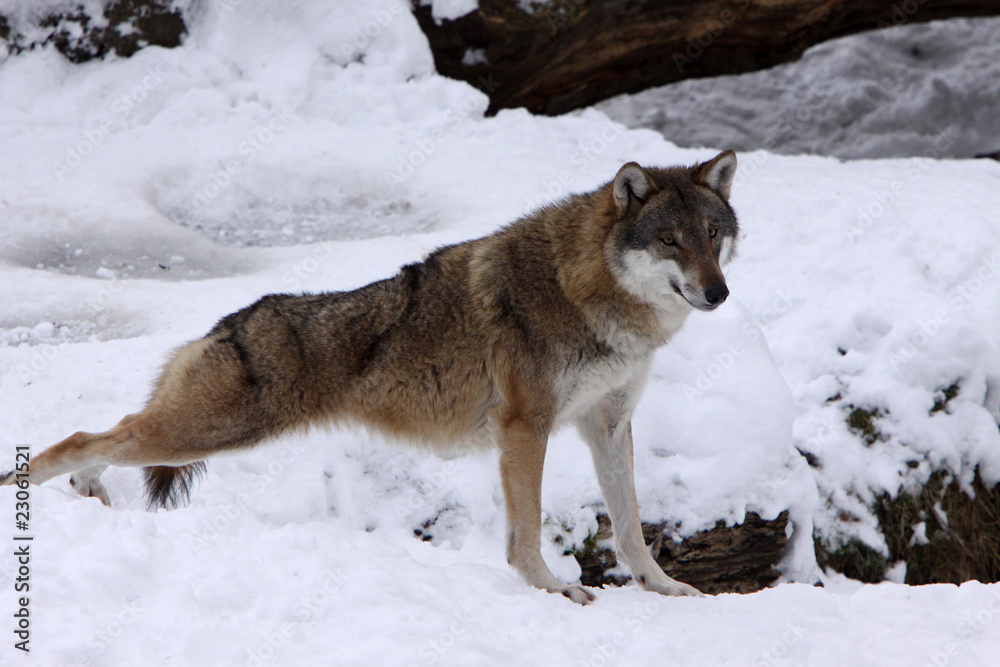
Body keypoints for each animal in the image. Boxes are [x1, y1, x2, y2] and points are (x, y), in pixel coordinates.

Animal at [3, 151, 740, 604]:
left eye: (712, 234)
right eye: (669, 240)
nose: (719, 293)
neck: (587, 293)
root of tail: (225, 323)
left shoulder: (608, 424)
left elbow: (630, 527)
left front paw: (662, 588)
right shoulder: (523, 429)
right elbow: (526, 532)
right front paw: (551, 588)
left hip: (192, 435)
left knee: (100, 440)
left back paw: (86, 491)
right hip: (205, 433)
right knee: (79, 437)